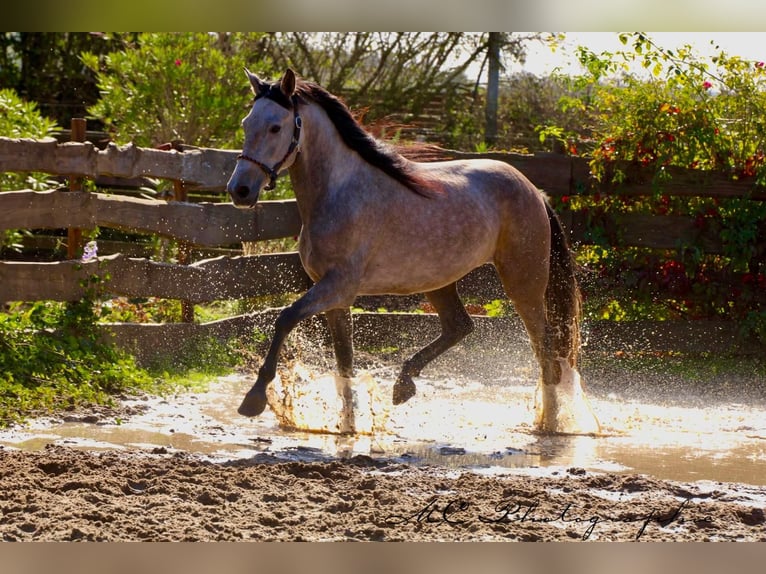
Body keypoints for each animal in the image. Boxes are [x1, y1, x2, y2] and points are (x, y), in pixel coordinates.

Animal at [226, 68, 600, 434]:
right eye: (246, 123)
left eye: (276, 127)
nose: (239, 190)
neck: (338, 192)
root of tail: (534, 191)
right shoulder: (335, 297)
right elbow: (344, 362)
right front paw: (348, 425)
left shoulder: (337, 286)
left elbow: (285, 318)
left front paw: (253, 399)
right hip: (439, 281)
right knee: (461, 326)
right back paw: (403, 385)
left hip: (524, 284)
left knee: (546, 350)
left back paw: (550, 424)